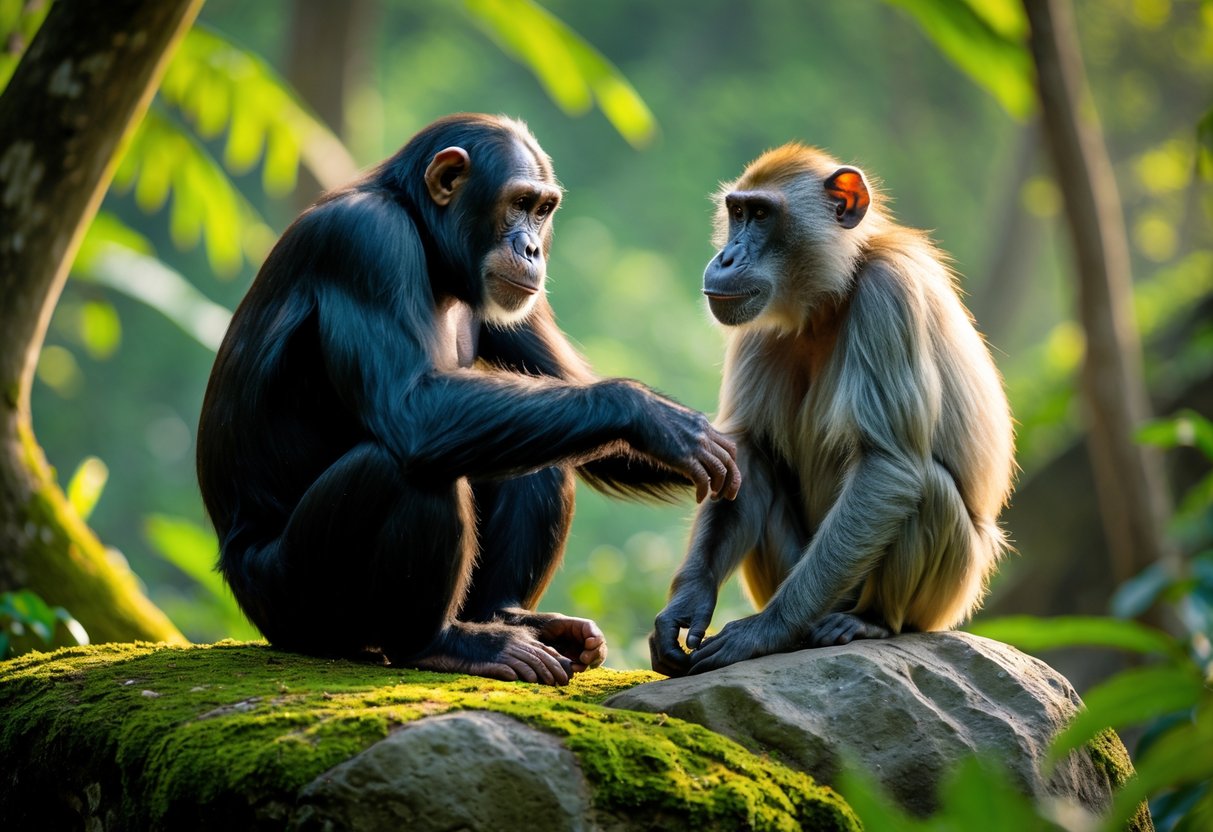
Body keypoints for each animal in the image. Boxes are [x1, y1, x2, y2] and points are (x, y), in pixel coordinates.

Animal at [650, 143, 1015, 676]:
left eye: (761, 215)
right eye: (737, 213)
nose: (726, 256)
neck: (826, 303)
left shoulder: (888, 295)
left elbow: (888, 466)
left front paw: (766, 630)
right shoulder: (760, 323)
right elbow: (743, 452)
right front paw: (686, 604)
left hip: (947, 591)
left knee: (926, 488)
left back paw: (870, 621)